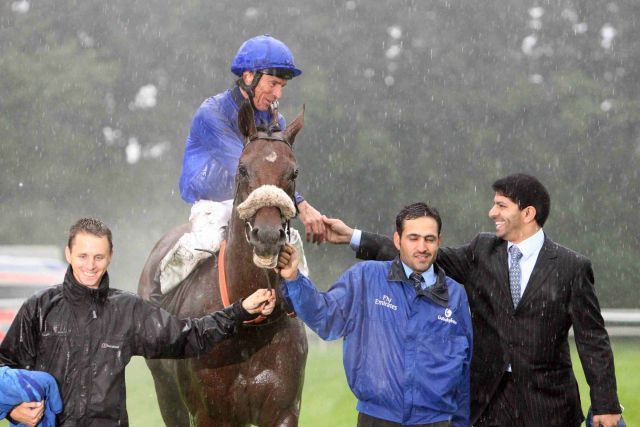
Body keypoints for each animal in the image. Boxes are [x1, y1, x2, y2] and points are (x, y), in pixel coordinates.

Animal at [138, 101, 310, 427]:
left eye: (294, 172)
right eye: (242, 169)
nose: (267, 235)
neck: (249, 329)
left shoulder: (283, 410)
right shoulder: (208, 413)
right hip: (167, 395)